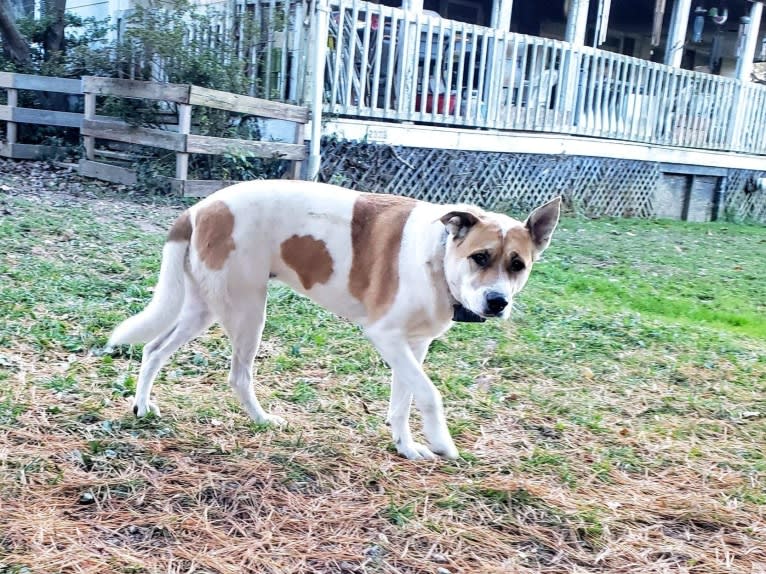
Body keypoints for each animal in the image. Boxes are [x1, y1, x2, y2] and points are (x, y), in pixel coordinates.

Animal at [108, 182, 560, 462]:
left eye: (518, 265)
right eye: (480, 257)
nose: (497, 302)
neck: (438, 255)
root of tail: (200, 207)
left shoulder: (412, 347)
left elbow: (404, 400)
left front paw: (406, 445)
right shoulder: (385, 336)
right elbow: (430, 395)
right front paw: (441, 442)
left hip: (202, 310)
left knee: (154, 349)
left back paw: (142, 405)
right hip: (248, 311)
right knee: (238, 376)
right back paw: (262, 419)